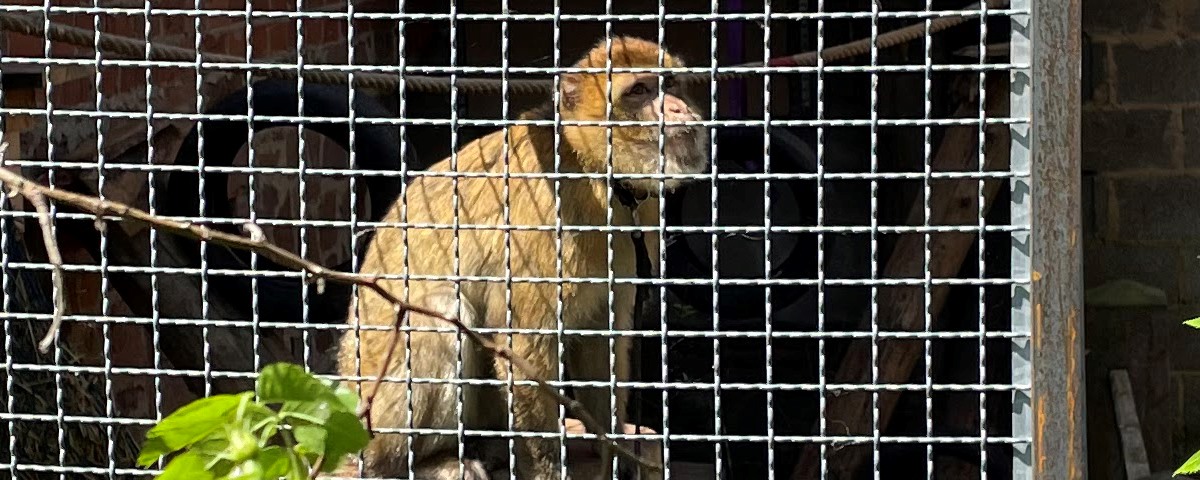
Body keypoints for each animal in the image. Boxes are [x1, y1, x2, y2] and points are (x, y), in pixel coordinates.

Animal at [335, 36, 709, 480]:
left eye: (670, 84)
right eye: (639, 91)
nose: (679, 108)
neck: (593, 168)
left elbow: (602, 335)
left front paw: (617, 451)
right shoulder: (548, 220)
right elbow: (522, 345)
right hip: (375, 414)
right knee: (439, 313)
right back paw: (427, 463)